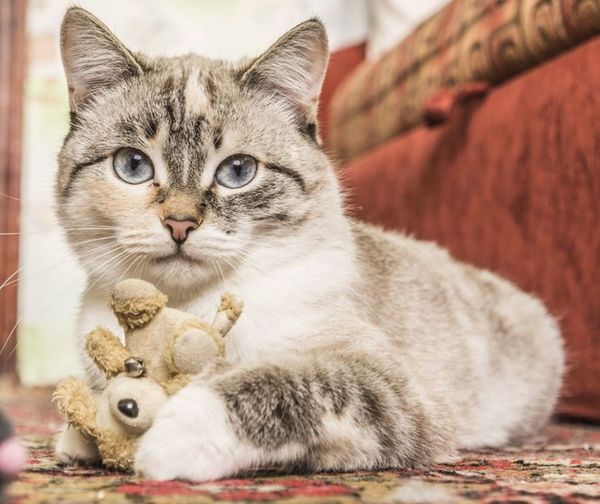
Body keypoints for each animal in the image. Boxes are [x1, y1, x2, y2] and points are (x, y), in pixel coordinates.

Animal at [54, 6, 564, 480]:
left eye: (237, 171)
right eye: (133, 166)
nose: (180, 224)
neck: (186, 308)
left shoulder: (386, 383)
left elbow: (283, 383)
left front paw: (168, 436)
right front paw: (82, 437)